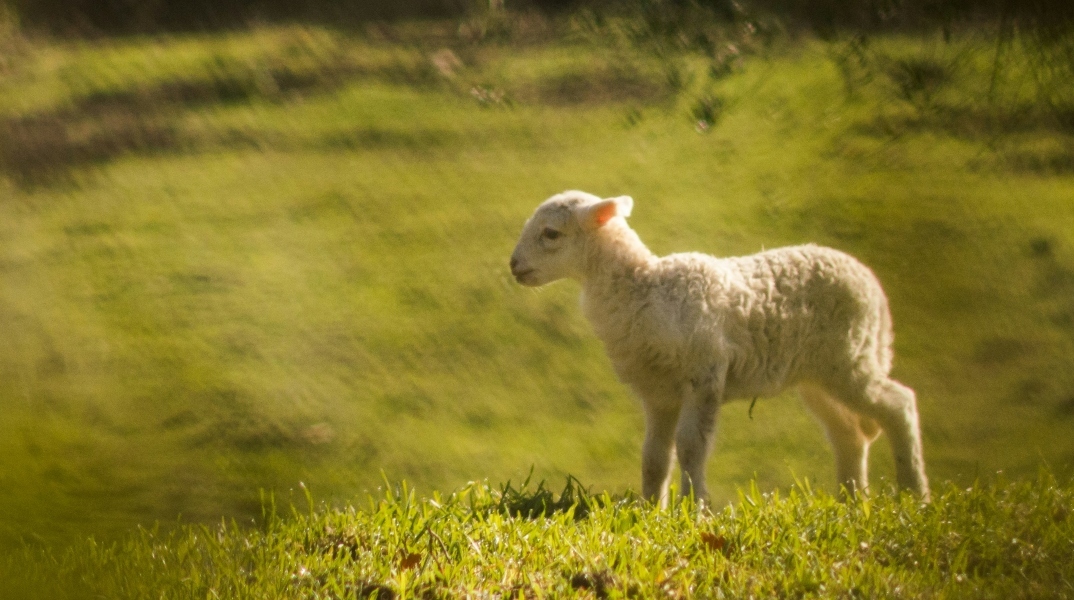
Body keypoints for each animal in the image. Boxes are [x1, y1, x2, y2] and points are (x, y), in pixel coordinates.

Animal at [506, 191, 927, 506]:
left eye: (551, 233)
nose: (513, 266)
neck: (643, 288)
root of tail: (871, 283)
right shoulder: (658, 391)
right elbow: (654, 456)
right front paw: (650, 509)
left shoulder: (704, 373)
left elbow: (691, 446)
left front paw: (694, 509)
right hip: (819, 374)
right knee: (848, 434)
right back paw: (850, 501)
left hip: (850, 357)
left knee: (899, 403)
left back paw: (914, 494)